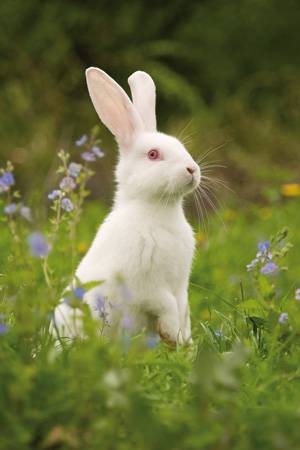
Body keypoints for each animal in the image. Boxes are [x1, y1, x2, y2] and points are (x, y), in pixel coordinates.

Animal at [52, 67, 200, 346]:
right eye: (153, 154)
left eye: (182, 146)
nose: (192, 169)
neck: (158, 211)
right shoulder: (146, 285)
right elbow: (166, 305)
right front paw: (171, 335)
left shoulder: (180, 286)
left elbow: (183, 309)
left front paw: (184, 344)